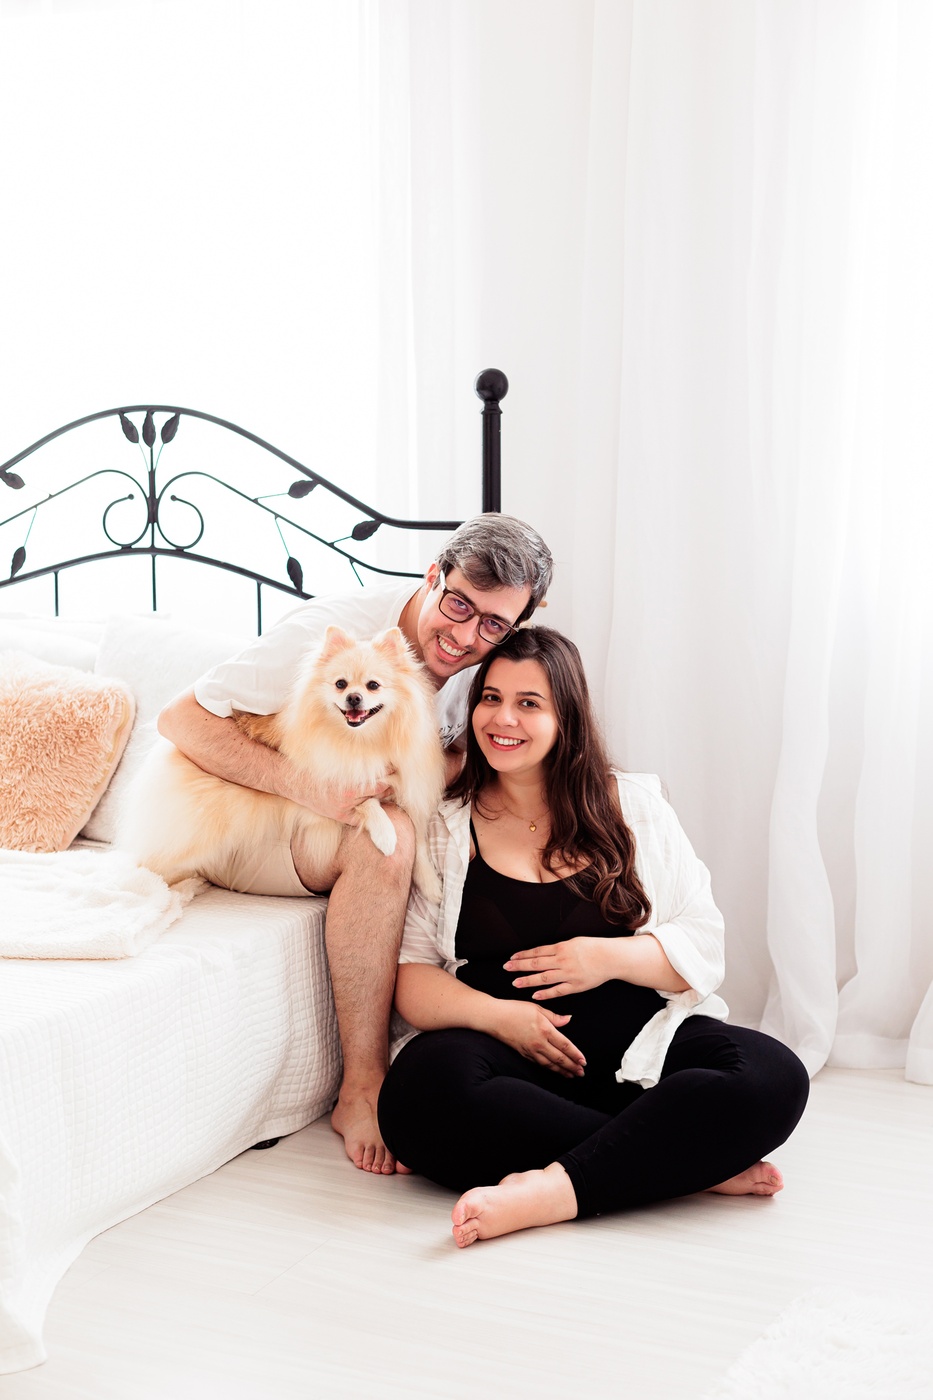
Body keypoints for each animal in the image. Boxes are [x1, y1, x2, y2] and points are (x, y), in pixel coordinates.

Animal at [122, 625, 446, 902]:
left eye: (373, 685)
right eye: (340, 684)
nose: (354, 697)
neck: (364, 740)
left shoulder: (410, 788)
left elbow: (417, 841)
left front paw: (430, 885)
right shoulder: (333, 785)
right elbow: (369, 804)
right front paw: (386, 834)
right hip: (202, 825)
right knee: (153, 864)